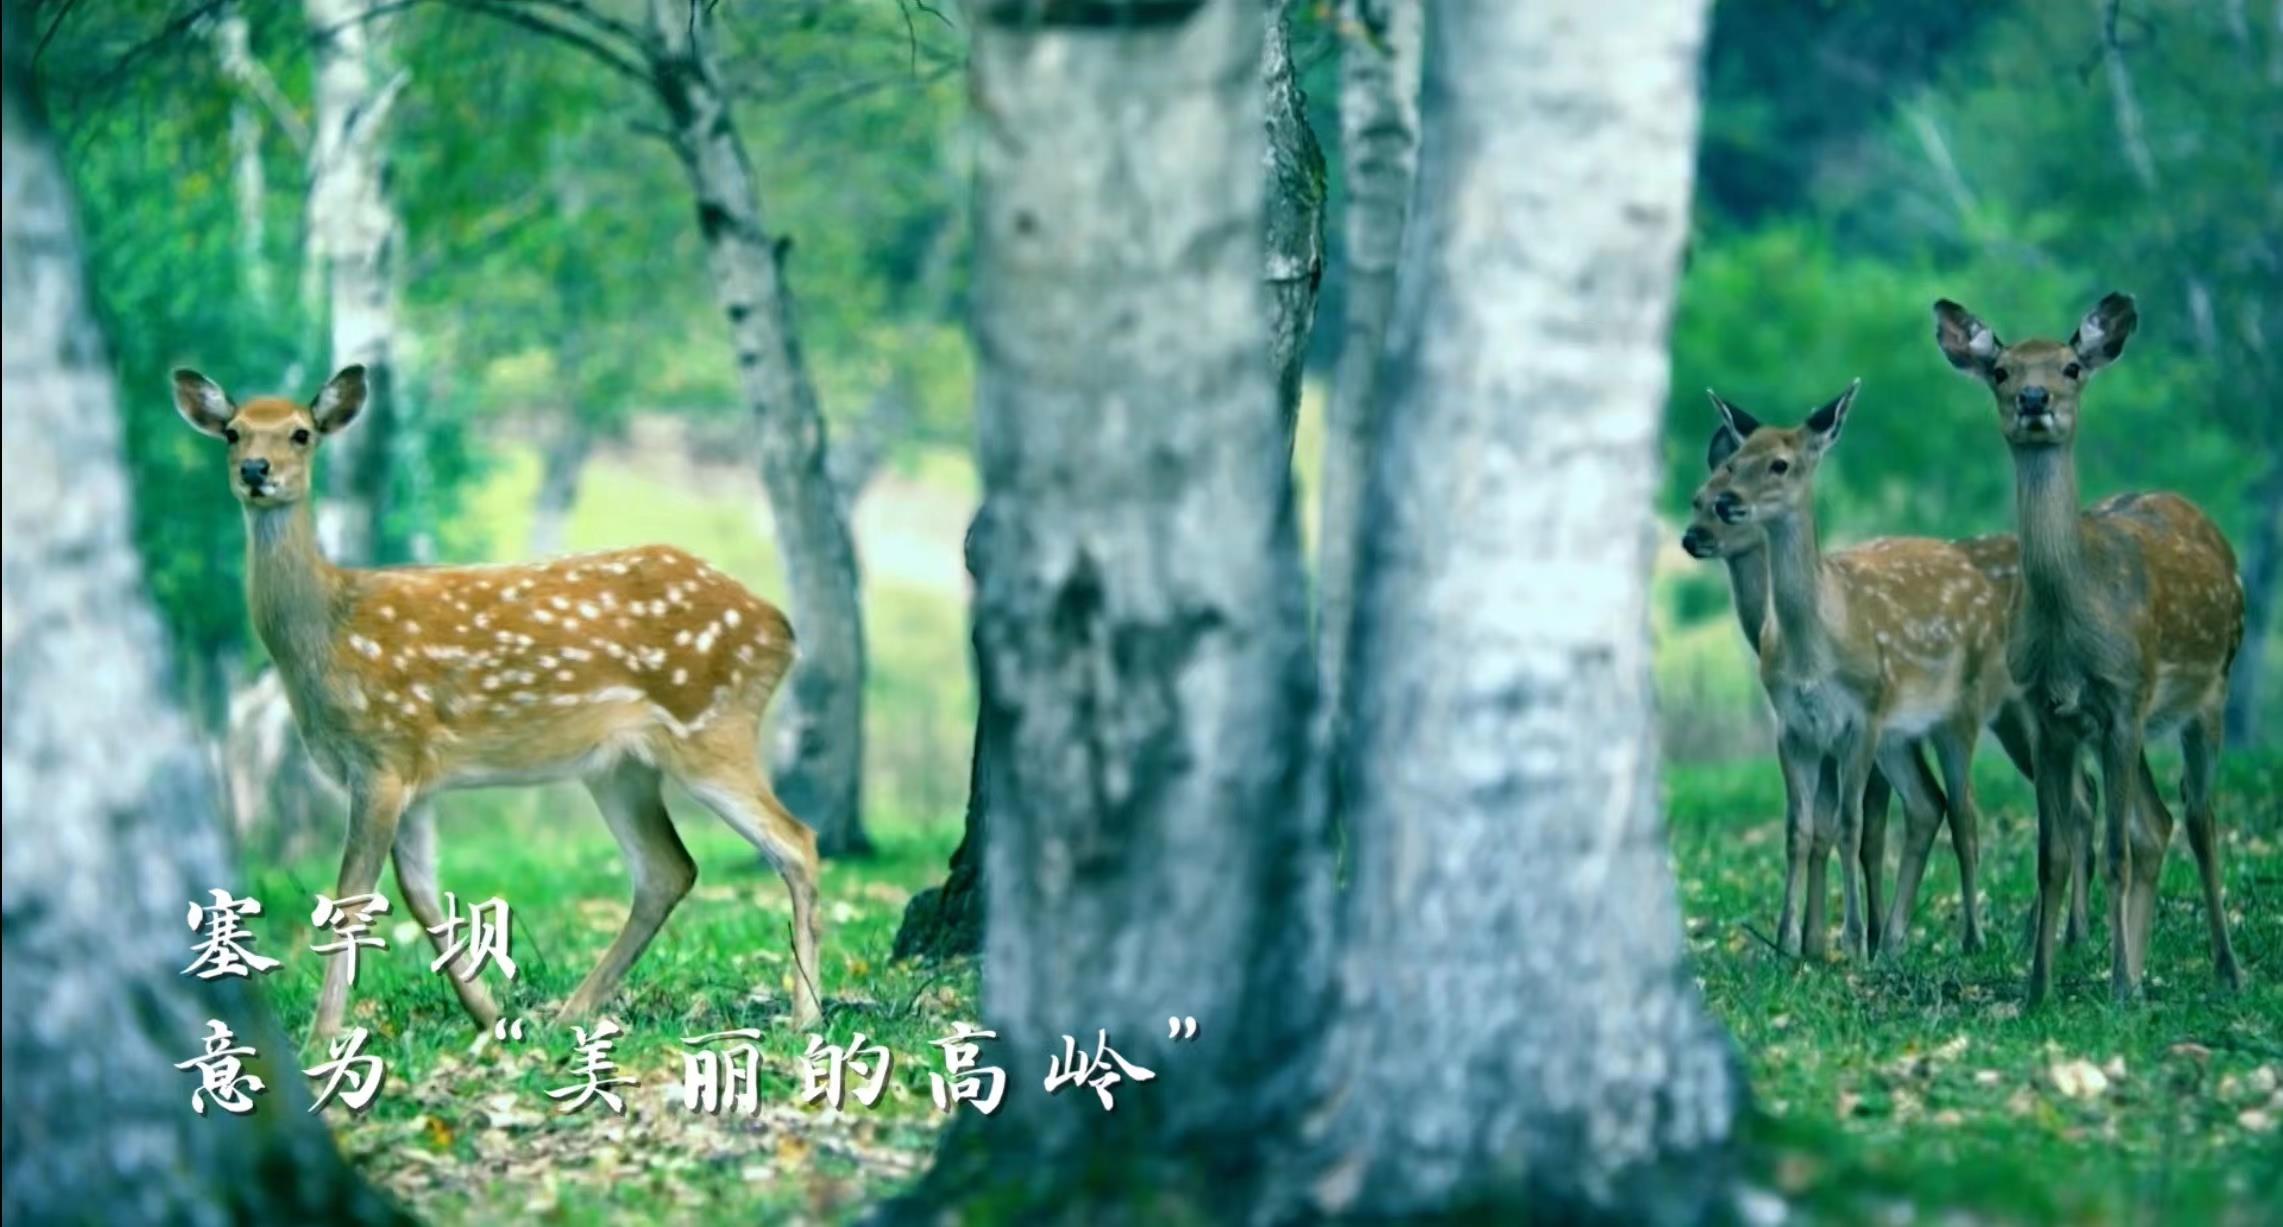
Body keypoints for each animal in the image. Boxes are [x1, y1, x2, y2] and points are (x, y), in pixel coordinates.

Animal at [173, 365, 831, 1041]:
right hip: (619, 766)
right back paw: (571, 1011)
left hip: (711, 725)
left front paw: (323, 1036)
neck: (329, 632)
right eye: (233, 432)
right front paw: (489, 1016)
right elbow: (421, 894)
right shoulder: (413, 773)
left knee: (796, 842)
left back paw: (805, 1015)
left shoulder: (383, 753)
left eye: (301, 433)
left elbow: (352, 898)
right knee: (667, 870)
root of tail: (780, 628)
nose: (256, 470)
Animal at [1935, 291, 2237, 1000]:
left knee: (2200, 818)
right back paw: (2140, 966)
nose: (2034, 397)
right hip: (2132, 719)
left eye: (2071, 366)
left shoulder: (2122, 699)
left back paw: (2223, 967)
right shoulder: (2051, 714)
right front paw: (2038, 988)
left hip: (2207, 691)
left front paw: (2119, 986)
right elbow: (2053, 853)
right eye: (2001, 371)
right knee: (2157, 822)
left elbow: (2116, 849)